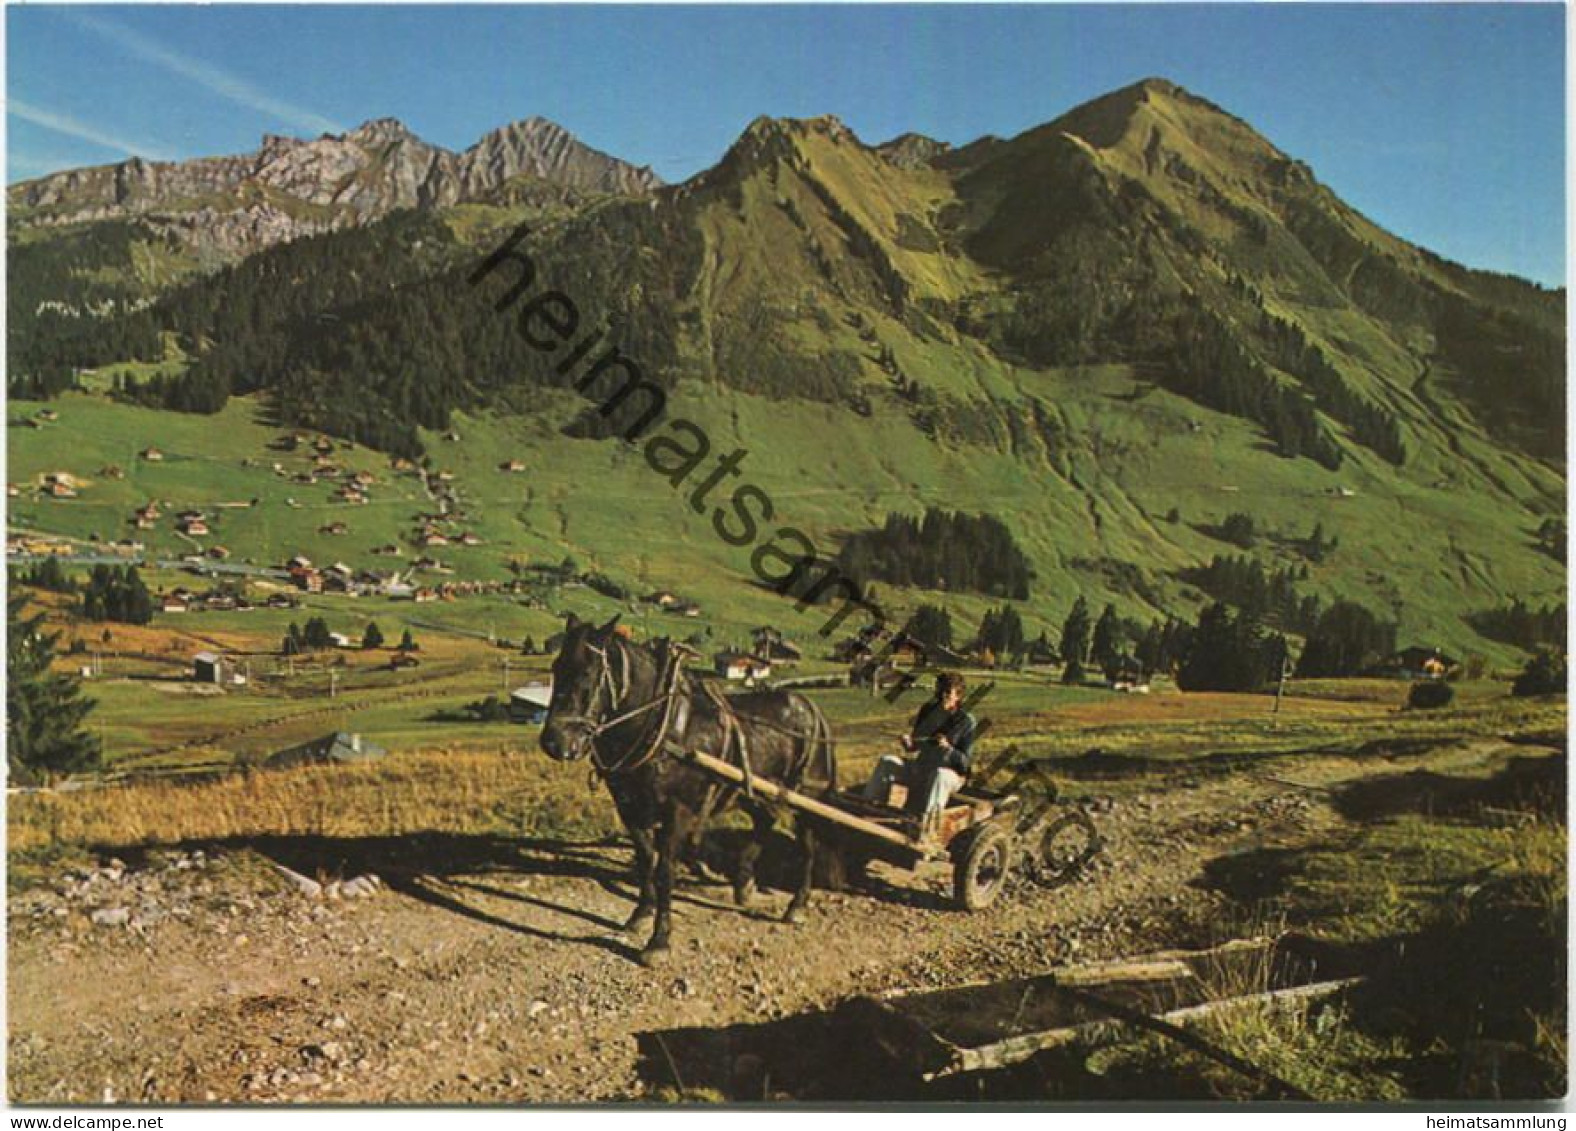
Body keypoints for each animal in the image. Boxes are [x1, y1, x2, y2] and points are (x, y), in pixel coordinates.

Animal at [538, 614, 838, 970]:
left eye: (589, 672)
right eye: (557, 666)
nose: (555, 741)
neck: (660, 726)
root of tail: (811, 708)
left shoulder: (677, 811)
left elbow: (665, 870)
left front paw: (659, 941)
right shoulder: (629, 807)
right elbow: (646, 859)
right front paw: (641, 913)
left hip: (807, 794)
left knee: (807, 843)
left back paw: (797, 904)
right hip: (750, 790)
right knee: (764, 821)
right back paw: (744, 883)